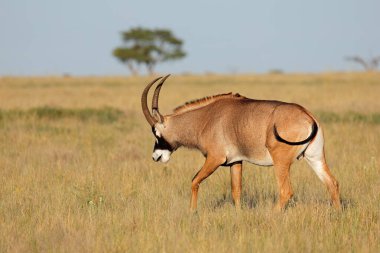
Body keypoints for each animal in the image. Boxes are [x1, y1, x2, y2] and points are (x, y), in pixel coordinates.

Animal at [142, 74, 342, 211]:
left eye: (156, 132)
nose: (156, 157)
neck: (206, 118)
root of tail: (308, 116)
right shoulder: (236, 161)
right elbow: (236, 191)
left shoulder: (214, 159)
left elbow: (194, 181)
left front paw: (192, 212)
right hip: (314, 157)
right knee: (332, 183)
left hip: (281, 162)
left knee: (286, 191)